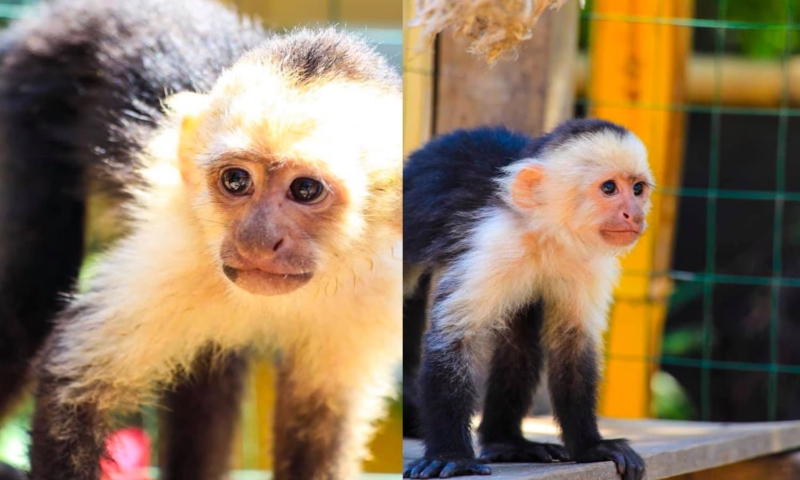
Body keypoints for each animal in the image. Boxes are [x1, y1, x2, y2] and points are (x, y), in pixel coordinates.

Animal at [0, 1, 402, 479]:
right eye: (236, 181)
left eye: (306, 189)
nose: (256, 240)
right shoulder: (176, 255)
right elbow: (74, 387)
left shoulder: (379, 288)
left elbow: (322, 418)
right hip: (28, 96)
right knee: (28, 305)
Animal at [401, 119, 651, 480]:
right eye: (608, 188)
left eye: (637, 189)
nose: (634, 214)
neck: (545, 232)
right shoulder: (494, 243)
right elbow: (454, 340)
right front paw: (452, 455)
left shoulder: (587, 263)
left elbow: (572, 343)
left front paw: (590, 446)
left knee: (520, 337)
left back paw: (506, 443)